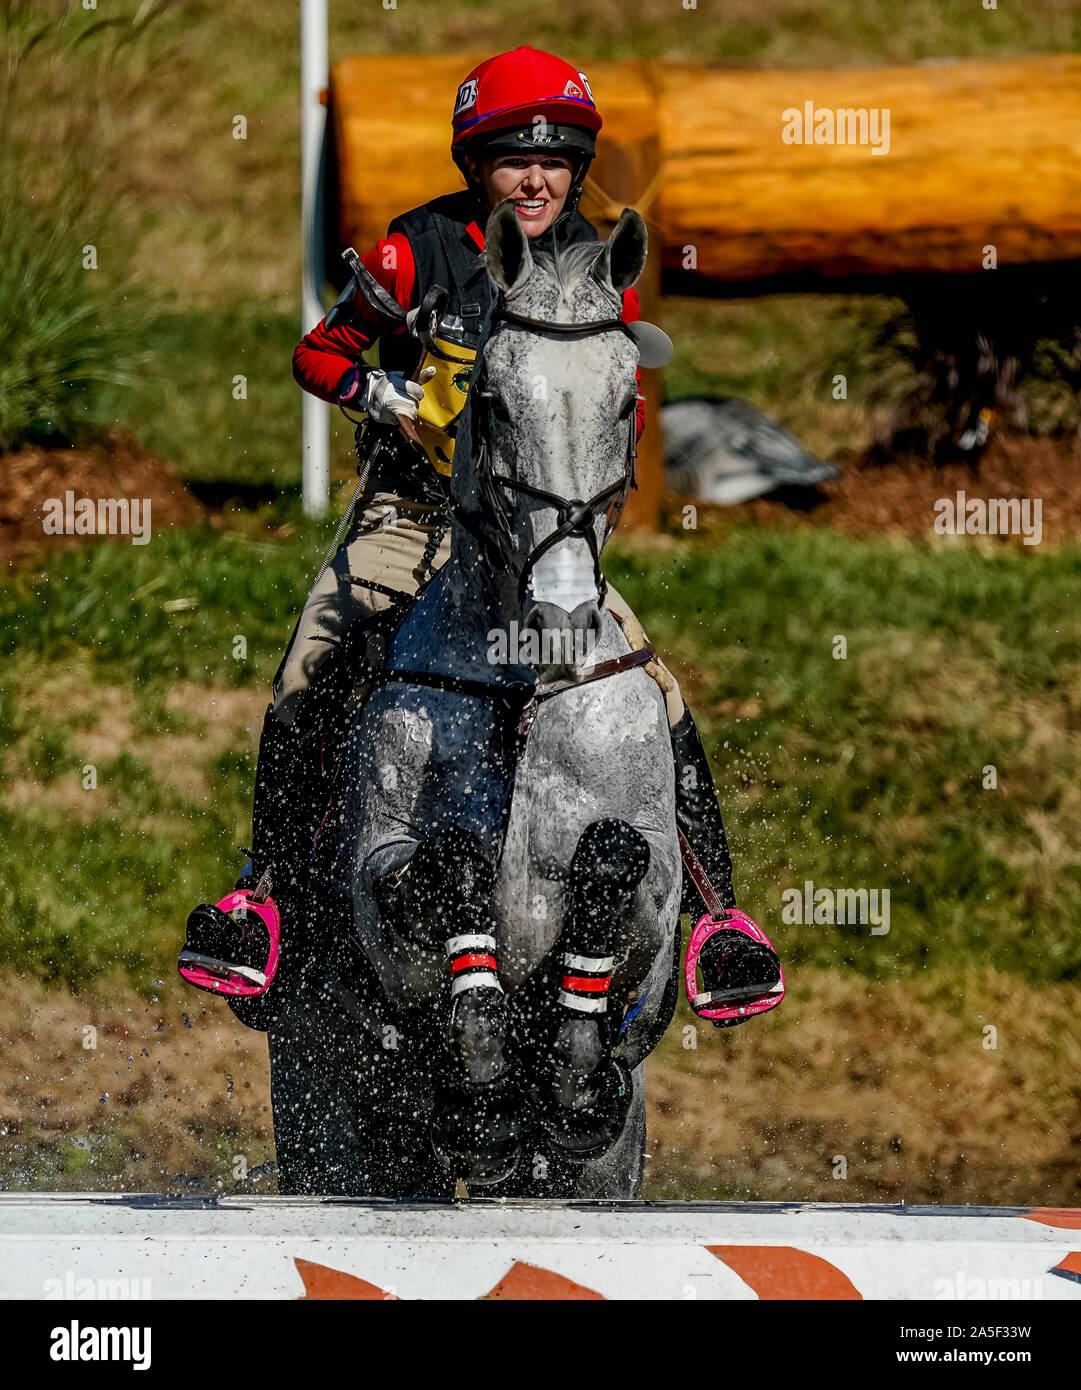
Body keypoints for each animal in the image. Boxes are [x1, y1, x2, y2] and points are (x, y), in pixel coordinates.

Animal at [265, 202, 678, 1195]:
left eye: (626, 403)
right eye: (490, 401)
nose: (560, 612)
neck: (521, 687)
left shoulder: (655, 910)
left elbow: (616, 865)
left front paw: (563, 1083)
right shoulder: (379, 895)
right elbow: (448, 870)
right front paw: (487, 1098)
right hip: (322, 1111)